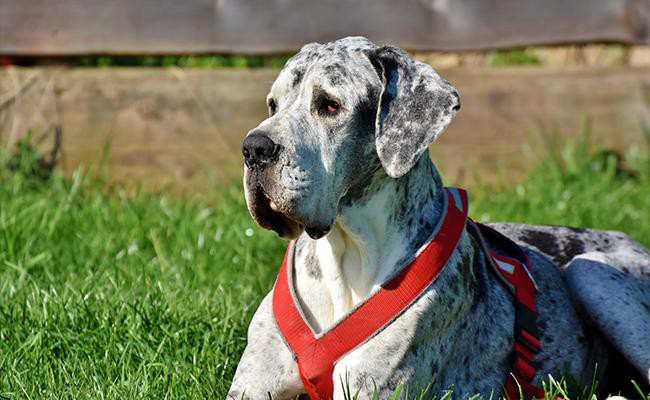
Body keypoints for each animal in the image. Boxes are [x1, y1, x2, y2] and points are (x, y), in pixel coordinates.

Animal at [229, 36, 648, 398]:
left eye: (329, 104)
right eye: (273, 105)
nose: (253, 148)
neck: (345, 253)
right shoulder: (251, 388)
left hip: (591, 270)